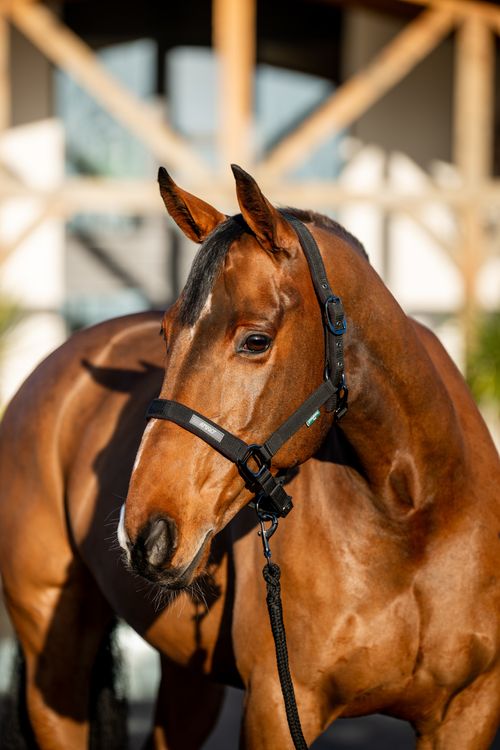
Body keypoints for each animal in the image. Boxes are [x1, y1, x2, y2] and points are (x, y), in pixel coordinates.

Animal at [0, 166, 498, 750]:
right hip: (53, 660)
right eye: (166, 332)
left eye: (256, 340)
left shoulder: (468, 711)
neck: (415, 517)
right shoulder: (277, 708)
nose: (144, 534)